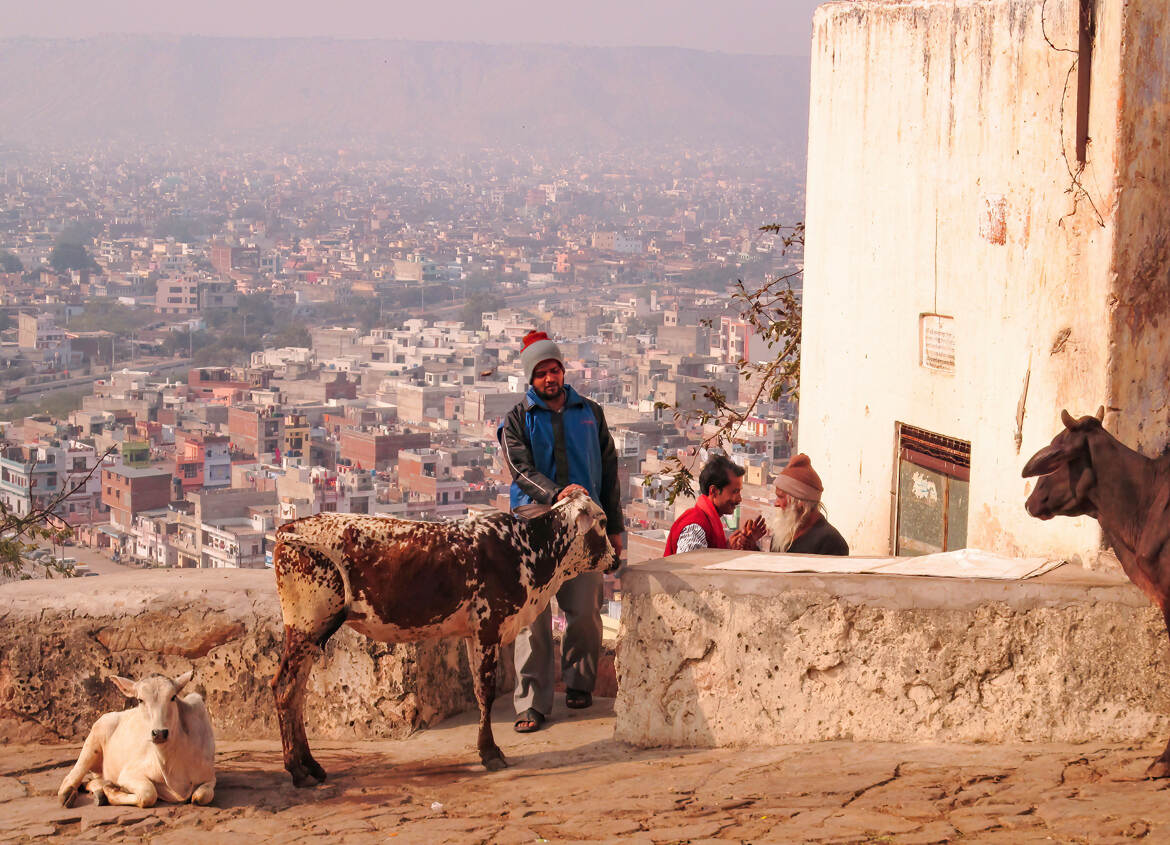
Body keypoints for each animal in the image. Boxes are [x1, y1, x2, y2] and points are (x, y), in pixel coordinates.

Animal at [265, 486, 613, 781]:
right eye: (603, 521)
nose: (613, 557)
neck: (529, 548)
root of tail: (288, 528)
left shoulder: (474, 634)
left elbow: (479, 691)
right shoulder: (488, 629)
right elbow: (485, 692)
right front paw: (490, 752)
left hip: (312, 633)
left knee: (296, 691)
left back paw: (311, 765)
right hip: (307, 625)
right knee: (285, 688)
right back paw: (297, 769)